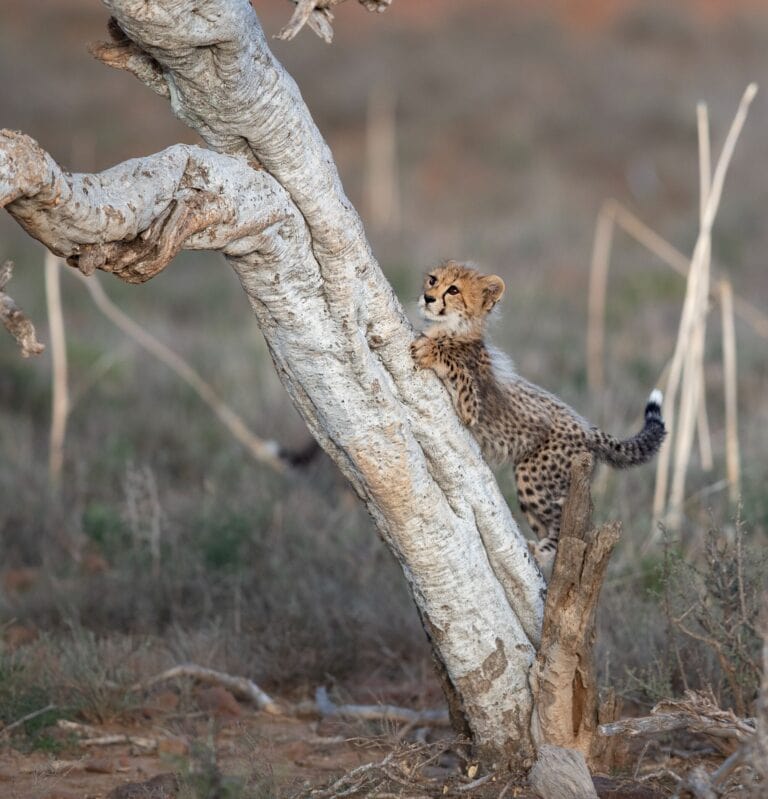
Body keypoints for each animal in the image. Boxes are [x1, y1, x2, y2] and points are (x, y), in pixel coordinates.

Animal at [410, 260, 666, 569]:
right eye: (433, 280)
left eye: (454, 290)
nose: (428, 298)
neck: (454, 328)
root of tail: (586, 426)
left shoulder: (471, 407)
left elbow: (455, 365)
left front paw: (432, 350)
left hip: (532, 473)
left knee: (568, 524)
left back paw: (544, 552)